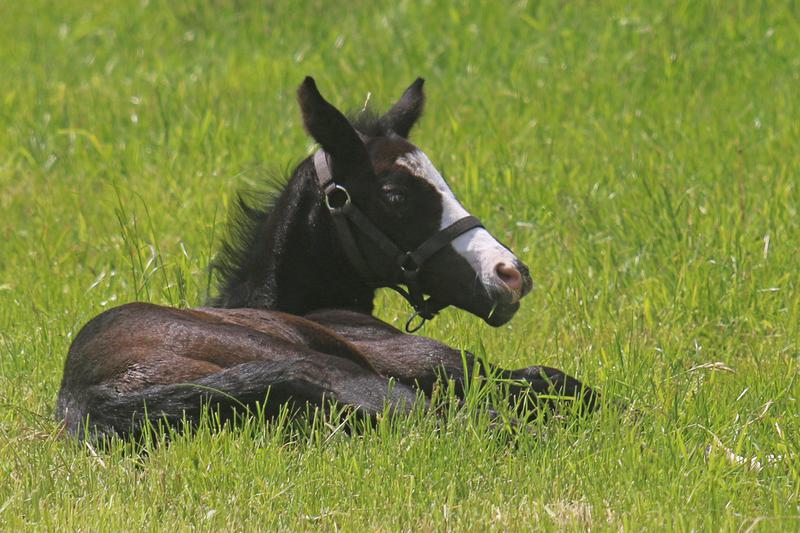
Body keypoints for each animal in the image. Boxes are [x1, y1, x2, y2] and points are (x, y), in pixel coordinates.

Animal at [56, 77, 598, 441]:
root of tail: (99, 396)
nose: (511, 275)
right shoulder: (434, 361)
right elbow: (554, 381)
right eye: (395, 195)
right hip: (339, 371)